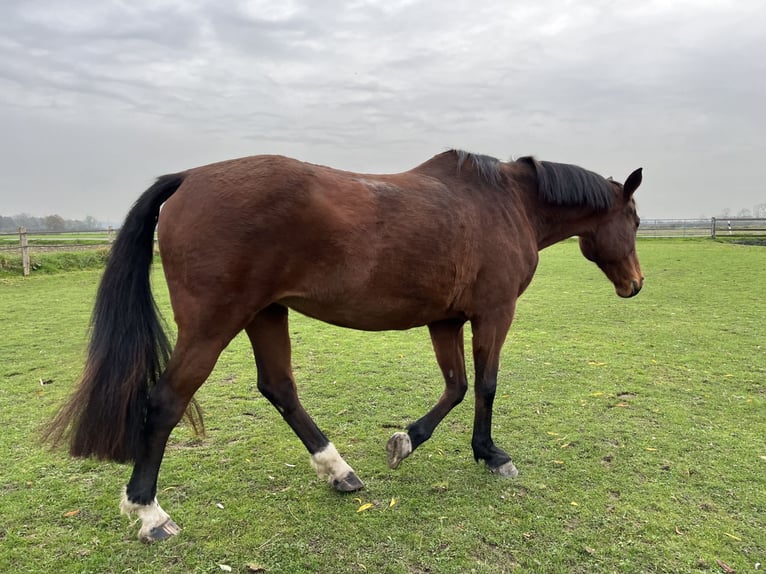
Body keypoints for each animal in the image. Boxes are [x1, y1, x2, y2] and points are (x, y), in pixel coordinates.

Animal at [43, 150, 640, 544]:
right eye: (633, 219)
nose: (635, 285)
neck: (504, 202)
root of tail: (189, 177)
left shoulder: (445, 320)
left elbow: (456, 386)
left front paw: (406, 441)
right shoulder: (493, 314)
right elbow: (486, 385)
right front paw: (491, 454)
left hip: (265, 314)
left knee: (279, 388)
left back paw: (338, 471)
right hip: (214, 325)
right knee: (166, 402)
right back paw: (148, 512)